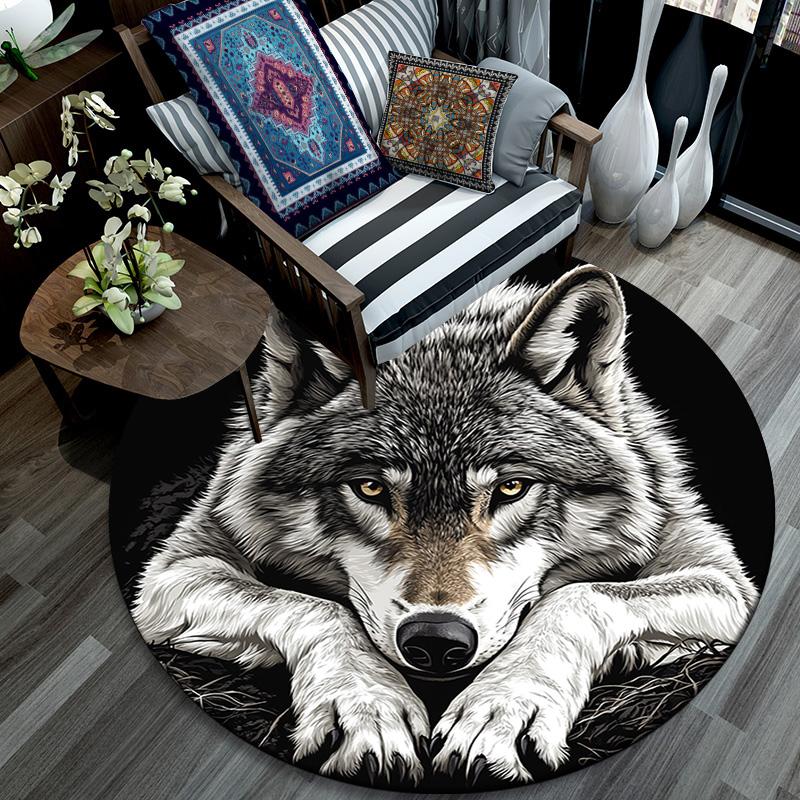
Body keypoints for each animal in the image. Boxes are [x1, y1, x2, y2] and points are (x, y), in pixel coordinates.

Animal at [132, 265, 758, 785]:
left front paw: (499, 711)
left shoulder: (724, 580)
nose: (436, 641)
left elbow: (578, 597)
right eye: (370, 488)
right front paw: (370, 706)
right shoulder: (171, 573)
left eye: (510, 488)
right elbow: (316, 606)